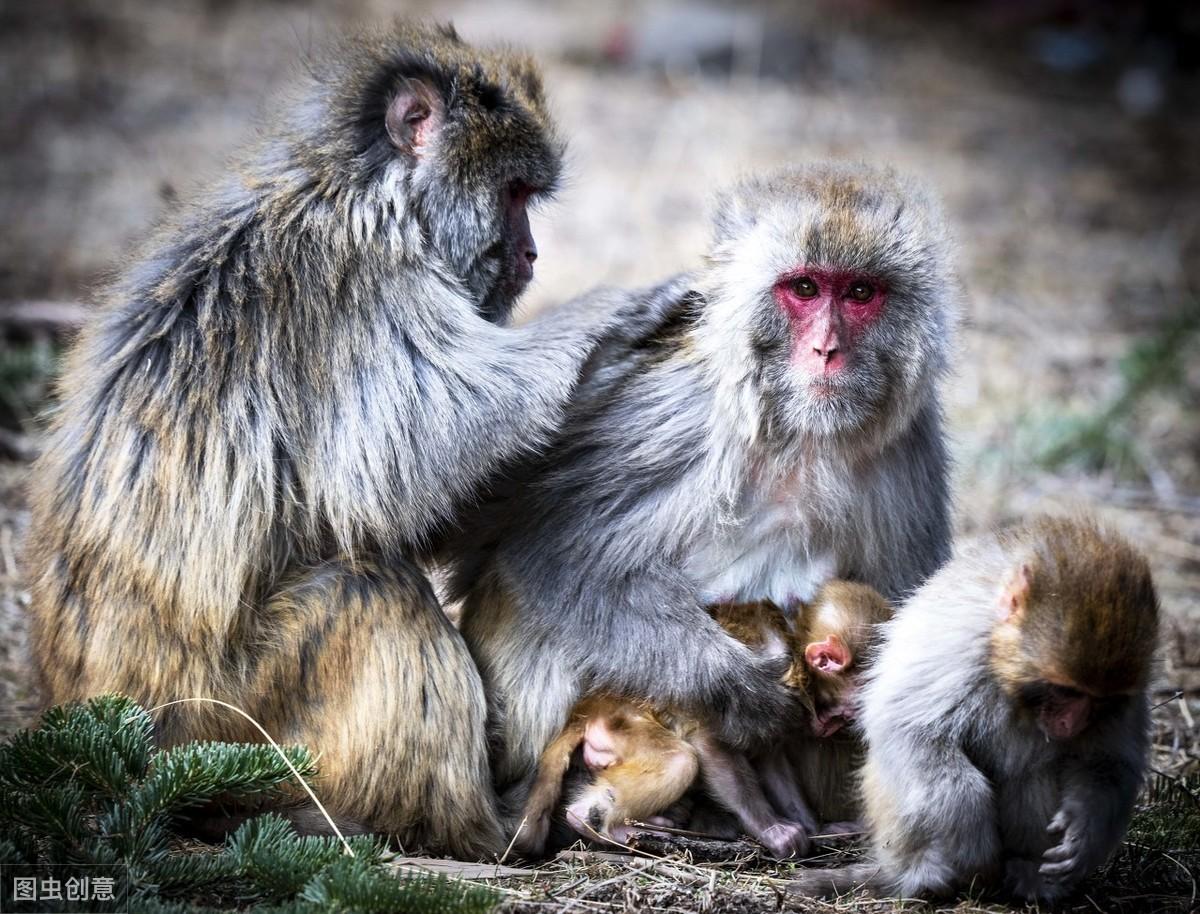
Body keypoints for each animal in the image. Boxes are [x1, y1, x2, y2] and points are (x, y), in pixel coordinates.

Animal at [23, 23, 638, 863]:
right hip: (234, 725)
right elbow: (406, 459)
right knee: (368, 591)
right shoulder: (362, 292)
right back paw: (481, 826)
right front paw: (608, 317)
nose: (533, 254)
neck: (370, 198)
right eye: (515, 195)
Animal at [453, 161, 960, 825]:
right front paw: (738, 692)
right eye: (804, 288)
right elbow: (556, 554)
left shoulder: (911, 446)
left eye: (859, 293)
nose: (827, 350)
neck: (803, 434)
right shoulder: (678, 413)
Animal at [511, 580, 897, 858]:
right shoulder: (771, 677)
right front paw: (771, 830)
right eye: (845, 713)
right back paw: (603, 824)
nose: (831, 728)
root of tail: (587, 709)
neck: (793, 644)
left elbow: (771, 760)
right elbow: (712, 742)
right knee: (679, 761)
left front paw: (813, 827)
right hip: (621, 727)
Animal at [792, 515, 1156, 902]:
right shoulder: (961, 640)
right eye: (1065, 691)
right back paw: (924, 875)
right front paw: (969, 827)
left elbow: (1109, 762)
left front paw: (1084, 828)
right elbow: (906, 726)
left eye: (1100, 700)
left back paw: (1028, 874)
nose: (1071, 723)